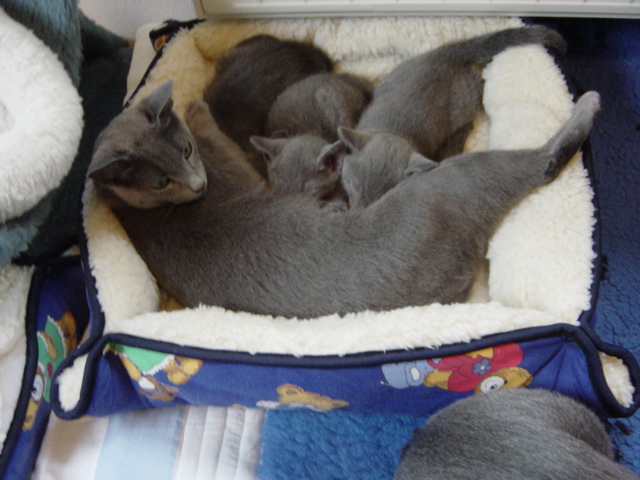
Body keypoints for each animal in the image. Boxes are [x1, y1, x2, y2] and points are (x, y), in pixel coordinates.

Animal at [88, 82, 599, 319]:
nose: (195, 185)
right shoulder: (236, 170)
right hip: (453, 180)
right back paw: (587, 103)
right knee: (541, 161)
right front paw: (195, 105)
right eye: (161, 182)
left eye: (185, 152)